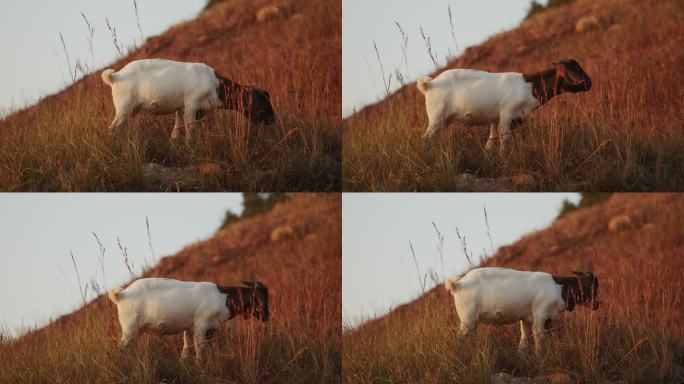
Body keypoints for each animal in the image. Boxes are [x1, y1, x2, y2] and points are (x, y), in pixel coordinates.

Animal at [100, 58, 274, 140]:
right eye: (261, 102)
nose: (273, 120)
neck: (215, 85)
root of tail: (117, 76)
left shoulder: (181, 108)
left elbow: (177, 127)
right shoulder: (191, 106)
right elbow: (190, 129)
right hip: (123, 110)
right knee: (112, 128)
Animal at [108, 278, 268, 358]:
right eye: (261, 298)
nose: (266, 316)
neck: (222, 297)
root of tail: (122, 294)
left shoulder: (190, 328)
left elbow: (186, 348)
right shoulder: (201, 326)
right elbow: (200, 349)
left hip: (136, 331)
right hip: (129, 330)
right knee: (121, 348)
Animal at [420, 59, 592, 152]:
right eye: (575, 70)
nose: (589, 83)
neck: (530, 87)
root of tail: (430, 84)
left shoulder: (507, 119)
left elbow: (493, 138)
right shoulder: (506, 115)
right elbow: (505, 139)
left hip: (444, 120)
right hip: (436, 118)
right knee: (426, 138)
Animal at [444, 268, 600, 352]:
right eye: (592, 287)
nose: (597, 304)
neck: (559, 287)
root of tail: (459, 284)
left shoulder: (526, 319)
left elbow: (524, 337)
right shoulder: (540, 315)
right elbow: (539, 337)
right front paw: (539, 356)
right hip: (467, 319)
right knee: (460, 338)